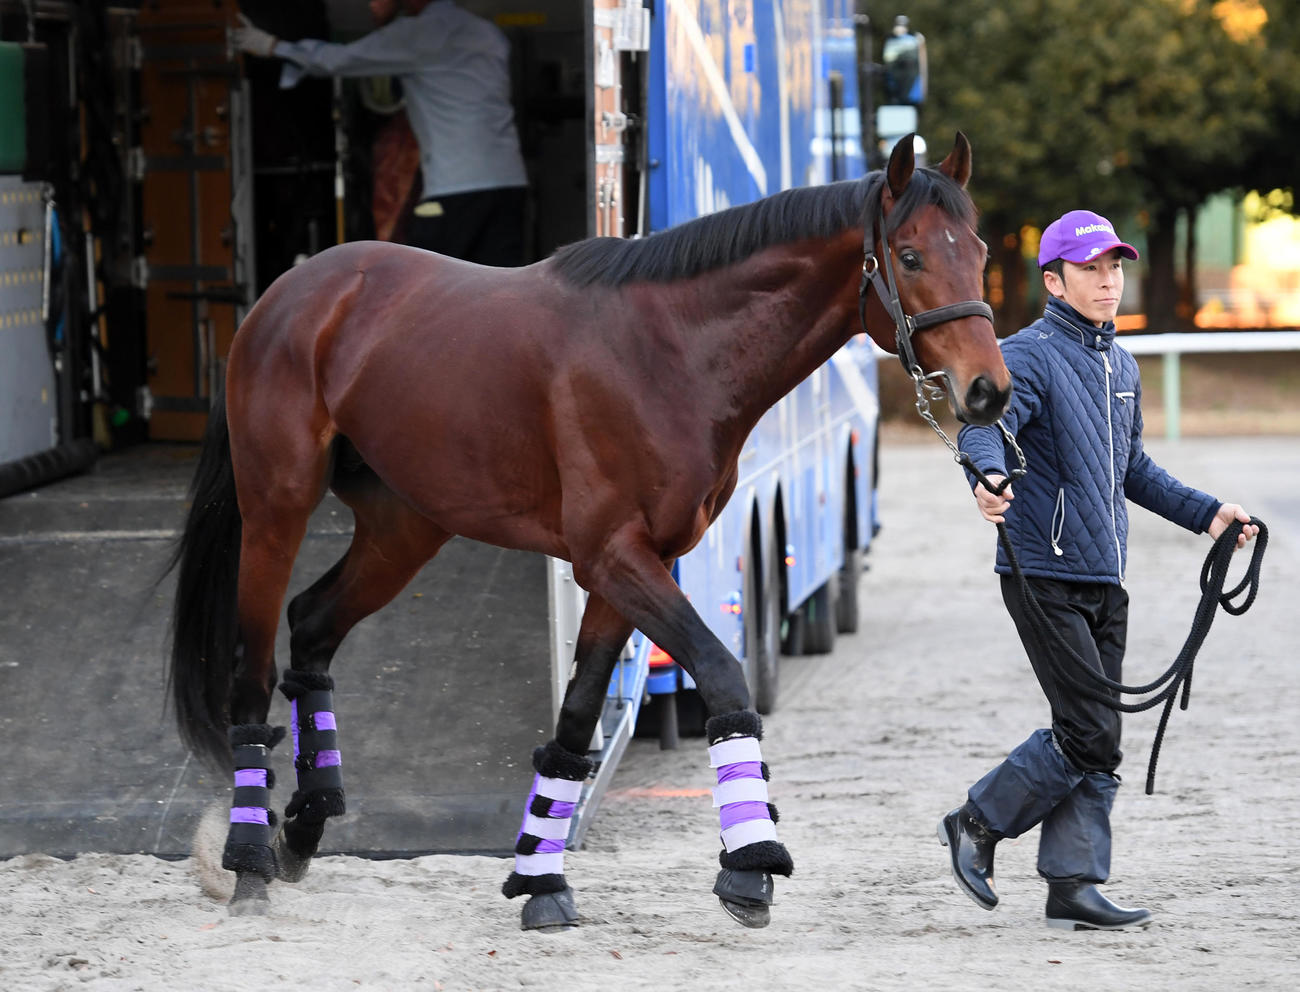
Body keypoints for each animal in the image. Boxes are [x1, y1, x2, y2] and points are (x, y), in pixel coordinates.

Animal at [168, 132, 1012, 929]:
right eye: (910, 256)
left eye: (978, 254)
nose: (989, 391)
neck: (672, 351)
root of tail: (291, 293)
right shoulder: (614, 558)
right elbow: (721, 672)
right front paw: (751, 868)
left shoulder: (630, 567)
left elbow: (575, 724)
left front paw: (542, 883)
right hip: (276, 511)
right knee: (252, 673)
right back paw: (250, 863)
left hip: (402, 531)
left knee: (312, 627)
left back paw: (305, 827)